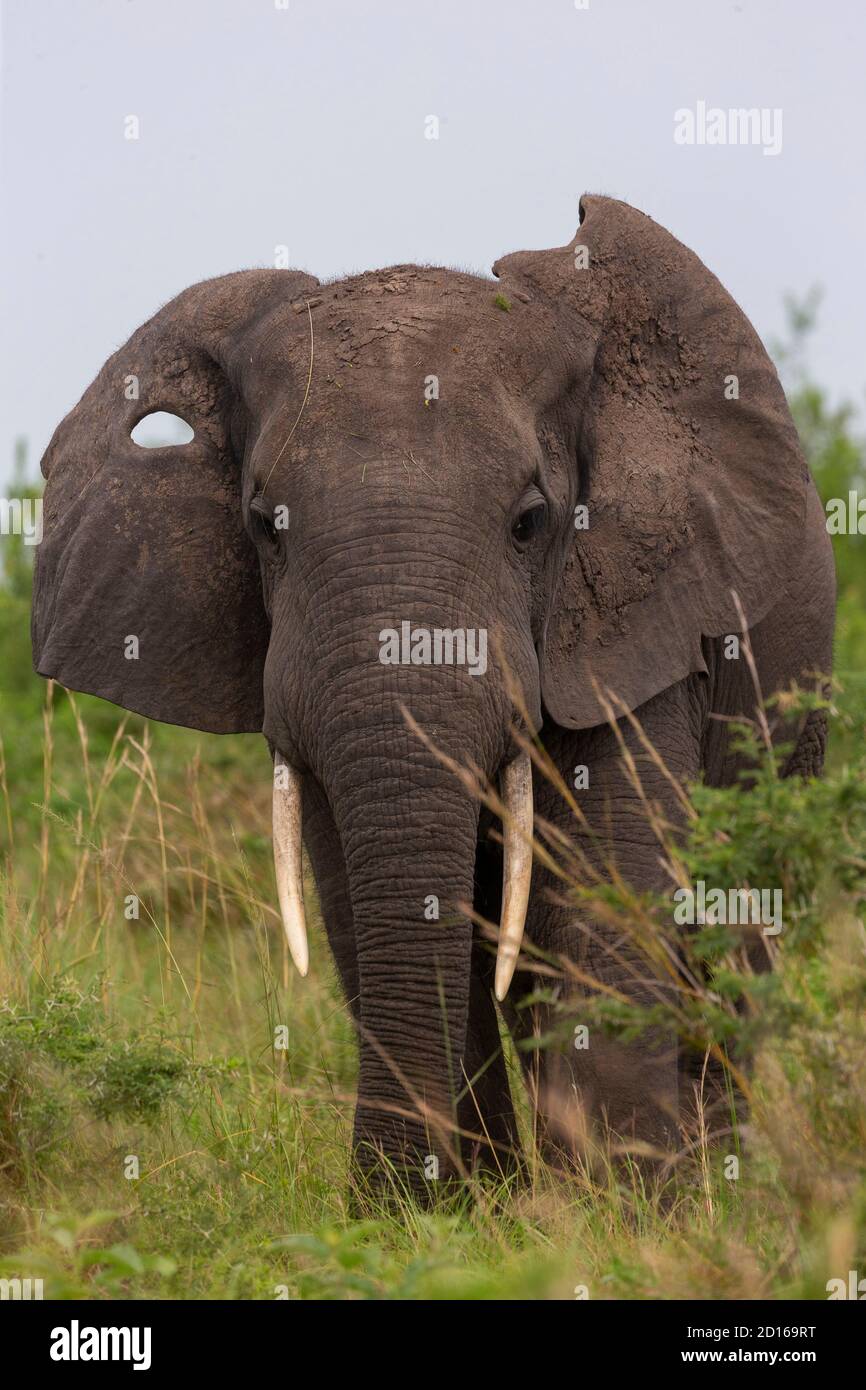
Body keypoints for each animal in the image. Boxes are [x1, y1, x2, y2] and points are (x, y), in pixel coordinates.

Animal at [32, 198, 834, 1206]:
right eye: (263, 525)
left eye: (532, 522)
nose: (374, 1199)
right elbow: (354, 897)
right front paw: (457, 1215)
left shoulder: (636, 621)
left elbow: (605, 886)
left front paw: (621, 1215)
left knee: (732, 940)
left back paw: (717, 1186)